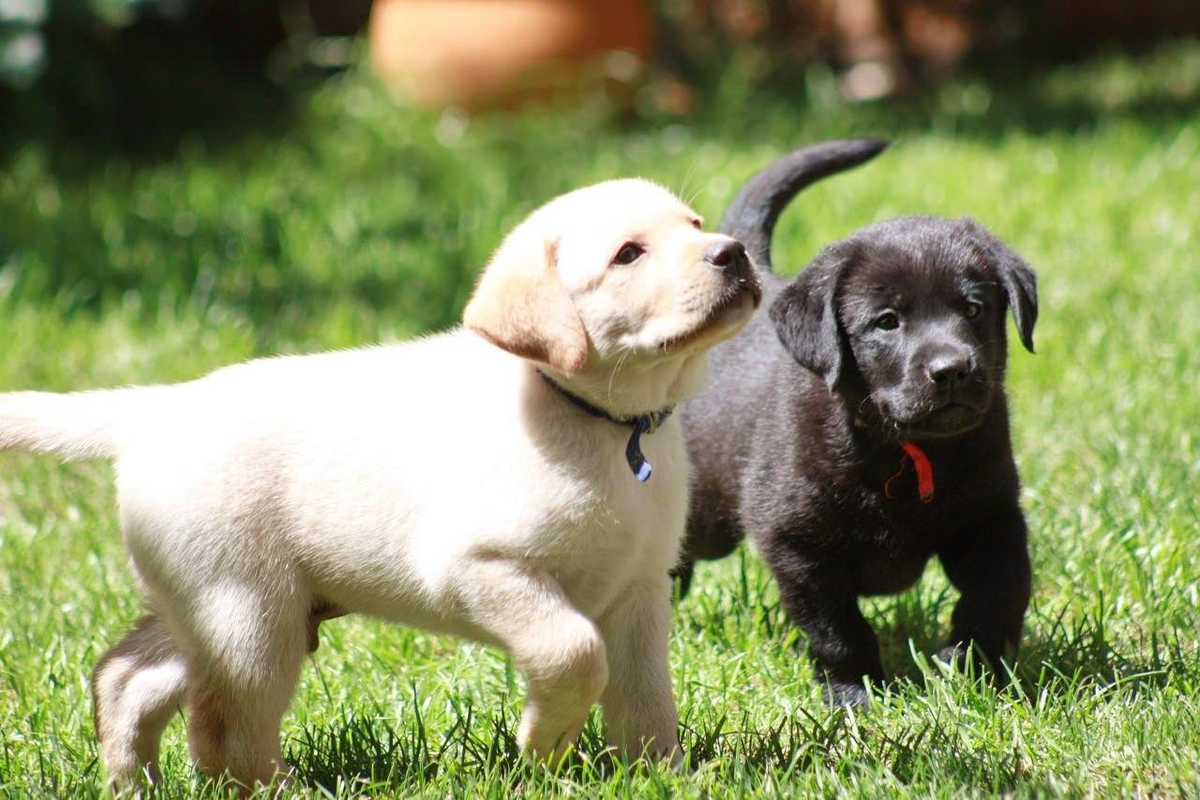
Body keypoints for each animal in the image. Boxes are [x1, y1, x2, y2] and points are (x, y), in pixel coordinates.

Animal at [0, 176, 758, 786]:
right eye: (629, 254)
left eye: (694, 225)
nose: (734, 252)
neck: (605, 422)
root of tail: (155, 407)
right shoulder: (477, 566)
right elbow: (575, 652)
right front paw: (543, 745)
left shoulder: (639, 590)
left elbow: (646, 699)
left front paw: (661, 775)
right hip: (247, 612)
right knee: (224, 730)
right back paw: (277, 788)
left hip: (206, 603)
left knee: (127, 677)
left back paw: (130, 781)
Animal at [686, 140, 1041, 705]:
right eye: (886, 322)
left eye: (973, 308)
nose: (952, 370)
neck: (906, 449)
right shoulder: (796, 544)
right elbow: (837, 630)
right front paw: (853, 695)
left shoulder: (992, 516)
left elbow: (999, 591)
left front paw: (969, 667)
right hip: (704, 516)